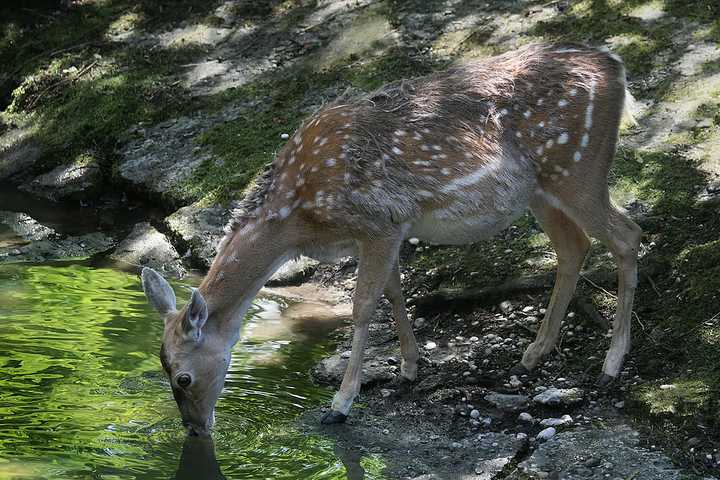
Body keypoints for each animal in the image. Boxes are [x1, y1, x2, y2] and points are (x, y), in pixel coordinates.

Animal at [141, 43, 640, 434]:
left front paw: (341, 404)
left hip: (577, 167)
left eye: (182, 378)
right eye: (164, 370)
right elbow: (395, 292)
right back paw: (533, 354)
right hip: (541, 189)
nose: (193, 429)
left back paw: (611, 365)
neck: (298, 221)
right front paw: (408, 367)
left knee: (627, 234)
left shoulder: (377, 223)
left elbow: (363, 306)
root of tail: (616, 65)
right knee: (574, 247)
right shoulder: (389, 226)